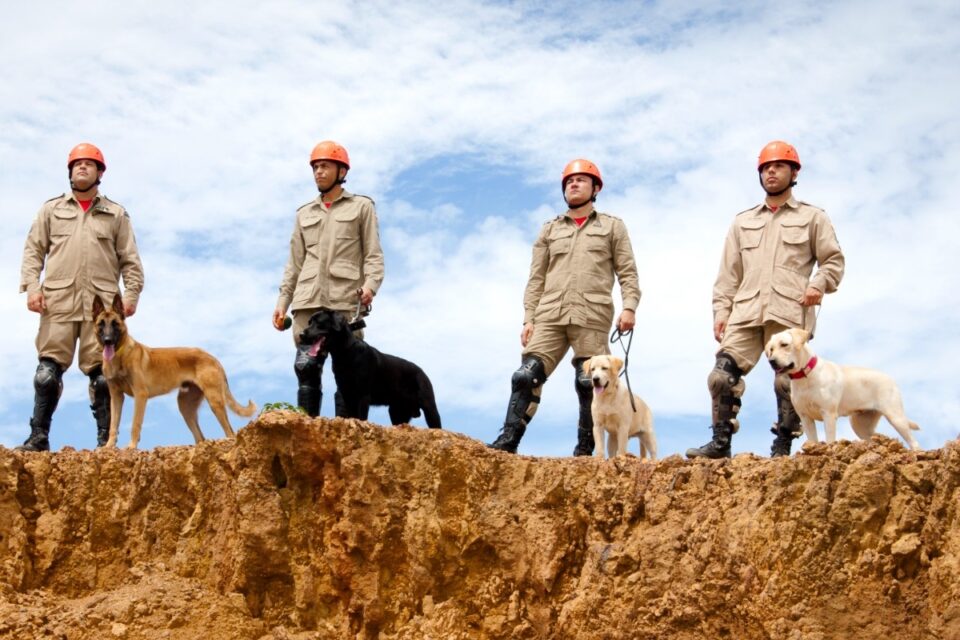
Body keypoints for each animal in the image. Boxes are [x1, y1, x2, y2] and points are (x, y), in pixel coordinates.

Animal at [92, 294, 256, 448]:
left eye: (115, 324)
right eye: (101, 324)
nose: (107, 340)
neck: (119, 355)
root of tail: (213, 358)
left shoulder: (140, 394)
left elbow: (135, 424)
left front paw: (131, 447)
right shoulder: (116, 396)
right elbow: (113, 425)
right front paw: (108, 446)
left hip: (214, 401)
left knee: (229, 431)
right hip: (185, 406)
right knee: (200, 437)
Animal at [300, 308, 442, 428]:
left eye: (319, 322)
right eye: (309, 322)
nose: (301, 334)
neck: (345, 353)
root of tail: (422, 371)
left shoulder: (363, 395)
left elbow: (362, 417)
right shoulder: (347, 394)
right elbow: (351, 415)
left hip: (430, 408)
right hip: (396, 411)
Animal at [768, 330, 920, 450]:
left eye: (784, 344)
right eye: (771, 349)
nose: (772, 361)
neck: (805, 377)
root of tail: (889, 378)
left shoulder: (828, 414)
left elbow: (830, 439)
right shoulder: (805, 417)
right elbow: (812, 440)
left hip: (895, 417)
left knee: (914, 443)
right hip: (860, 425)